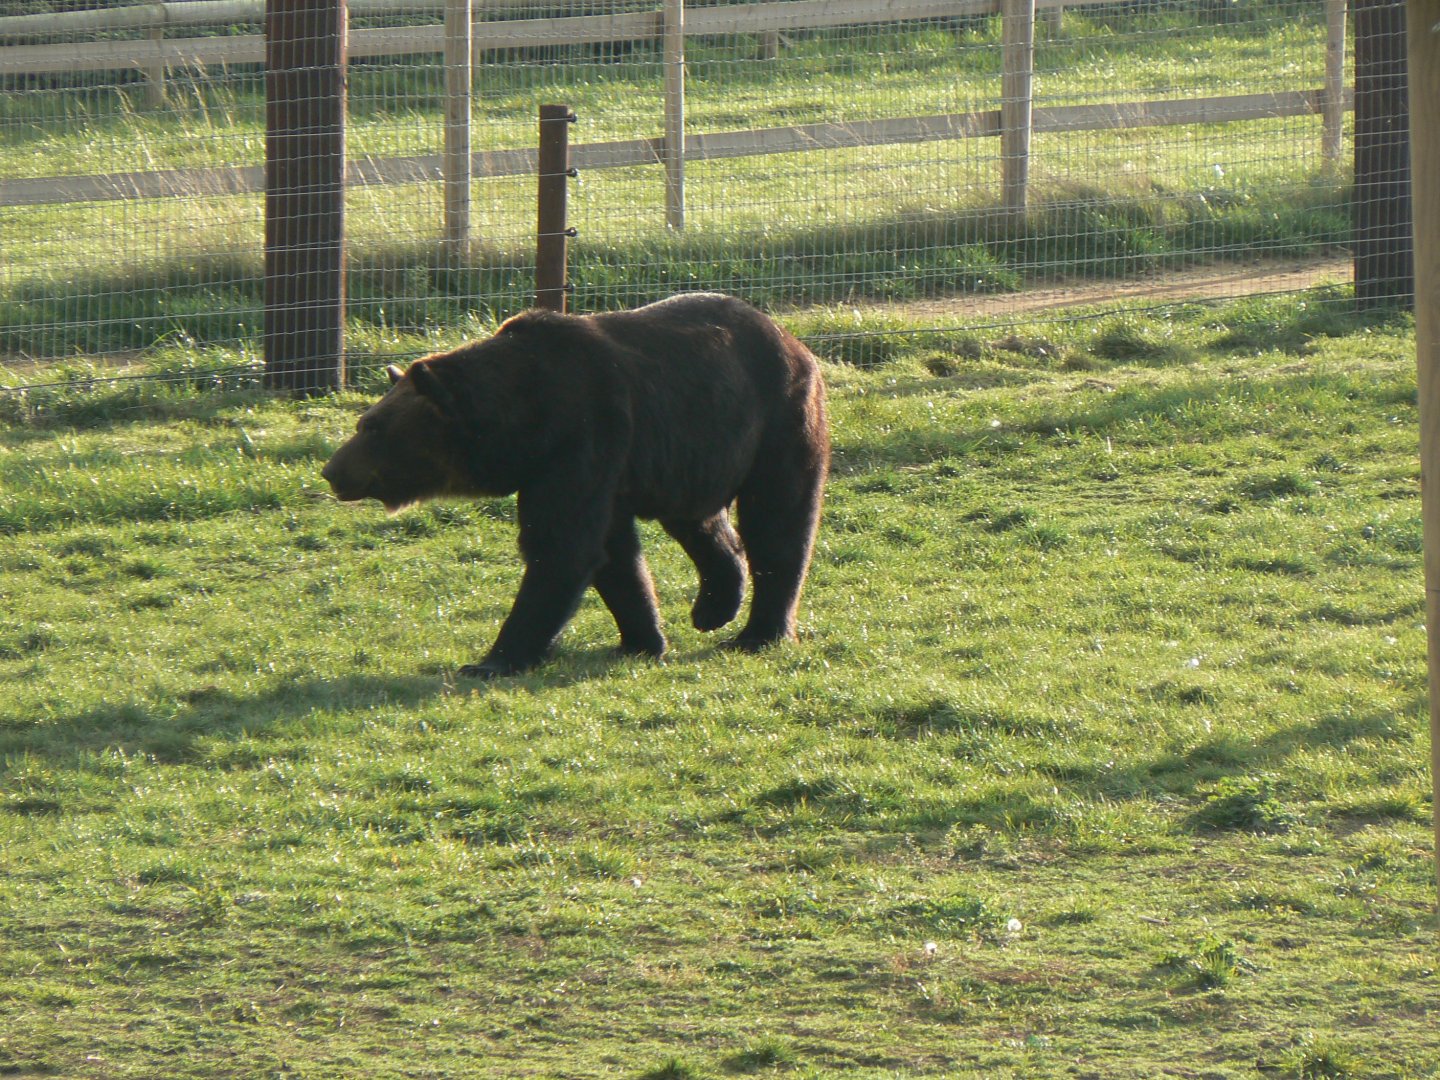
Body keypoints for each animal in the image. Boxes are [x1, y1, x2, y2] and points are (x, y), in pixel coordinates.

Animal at [321, 292, 829, 678]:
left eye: (373, 428)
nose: (332, 470)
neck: (522, 422)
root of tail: (793, 340)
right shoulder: (594, 469)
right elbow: (613, 555)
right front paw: (641, 640)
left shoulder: (584, 437)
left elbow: (561, 549)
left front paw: (491, 661)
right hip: (697, 451)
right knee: (701, 523)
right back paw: (712, 607)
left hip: (778, 418)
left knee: (777, 520)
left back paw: (757, 634)